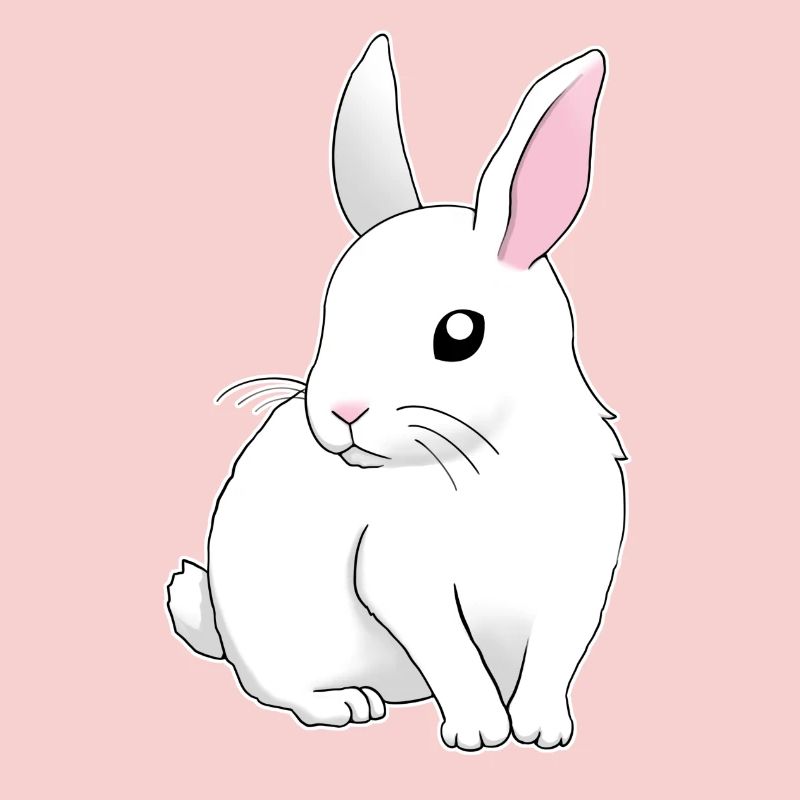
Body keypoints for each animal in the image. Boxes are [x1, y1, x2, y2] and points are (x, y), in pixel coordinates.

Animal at [167, 33, 627, 752]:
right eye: (331, 312)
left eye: (460, 334)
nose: (341, 411)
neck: (490, 458)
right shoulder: (403, 579)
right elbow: (453, 654)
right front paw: (478, 730)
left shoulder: (580, 577)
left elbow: (556, 654)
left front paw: (543, 729)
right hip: (277, 639)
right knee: (278, 690)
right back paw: (347, 705)